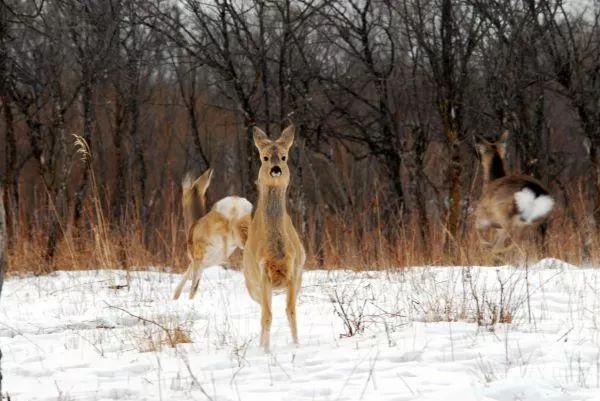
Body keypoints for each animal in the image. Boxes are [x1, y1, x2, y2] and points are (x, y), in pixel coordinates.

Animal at [172, 167, 252, 298]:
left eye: (184, 193)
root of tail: (235, 203)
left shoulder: (197, 259)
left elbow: (193, 285)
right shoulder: (199, 262)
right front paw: (175, 296)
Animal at [241, 124, 304, 350]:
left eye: (284, 157)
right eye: (265, 157)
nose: (275, 169)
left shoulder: (293, 271)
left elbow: (291, 312)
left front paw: (296, 345)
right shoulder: (262, 274)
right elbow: (266, 316)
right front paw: (265, 351)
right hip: (252, 286)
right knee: (262, 311)